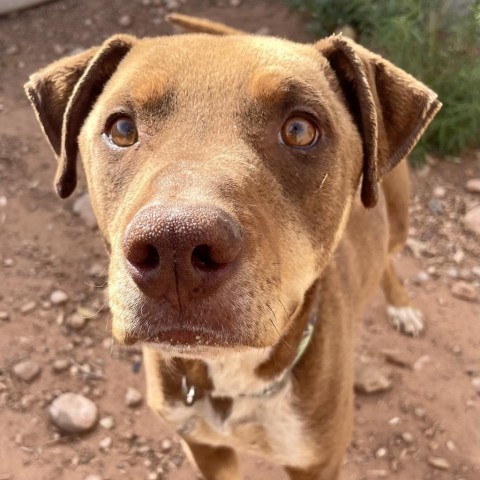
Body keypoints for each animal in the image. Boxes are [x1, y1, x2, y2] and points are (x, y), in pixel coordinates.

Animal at [25, 15, 438, 480]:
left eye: (300, 129)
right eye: (122, 128)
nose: (175, 243)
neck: (234, 379)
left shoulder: (318, 462)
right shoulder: (204, 447)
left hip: (398, 215)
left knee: (389, 257)